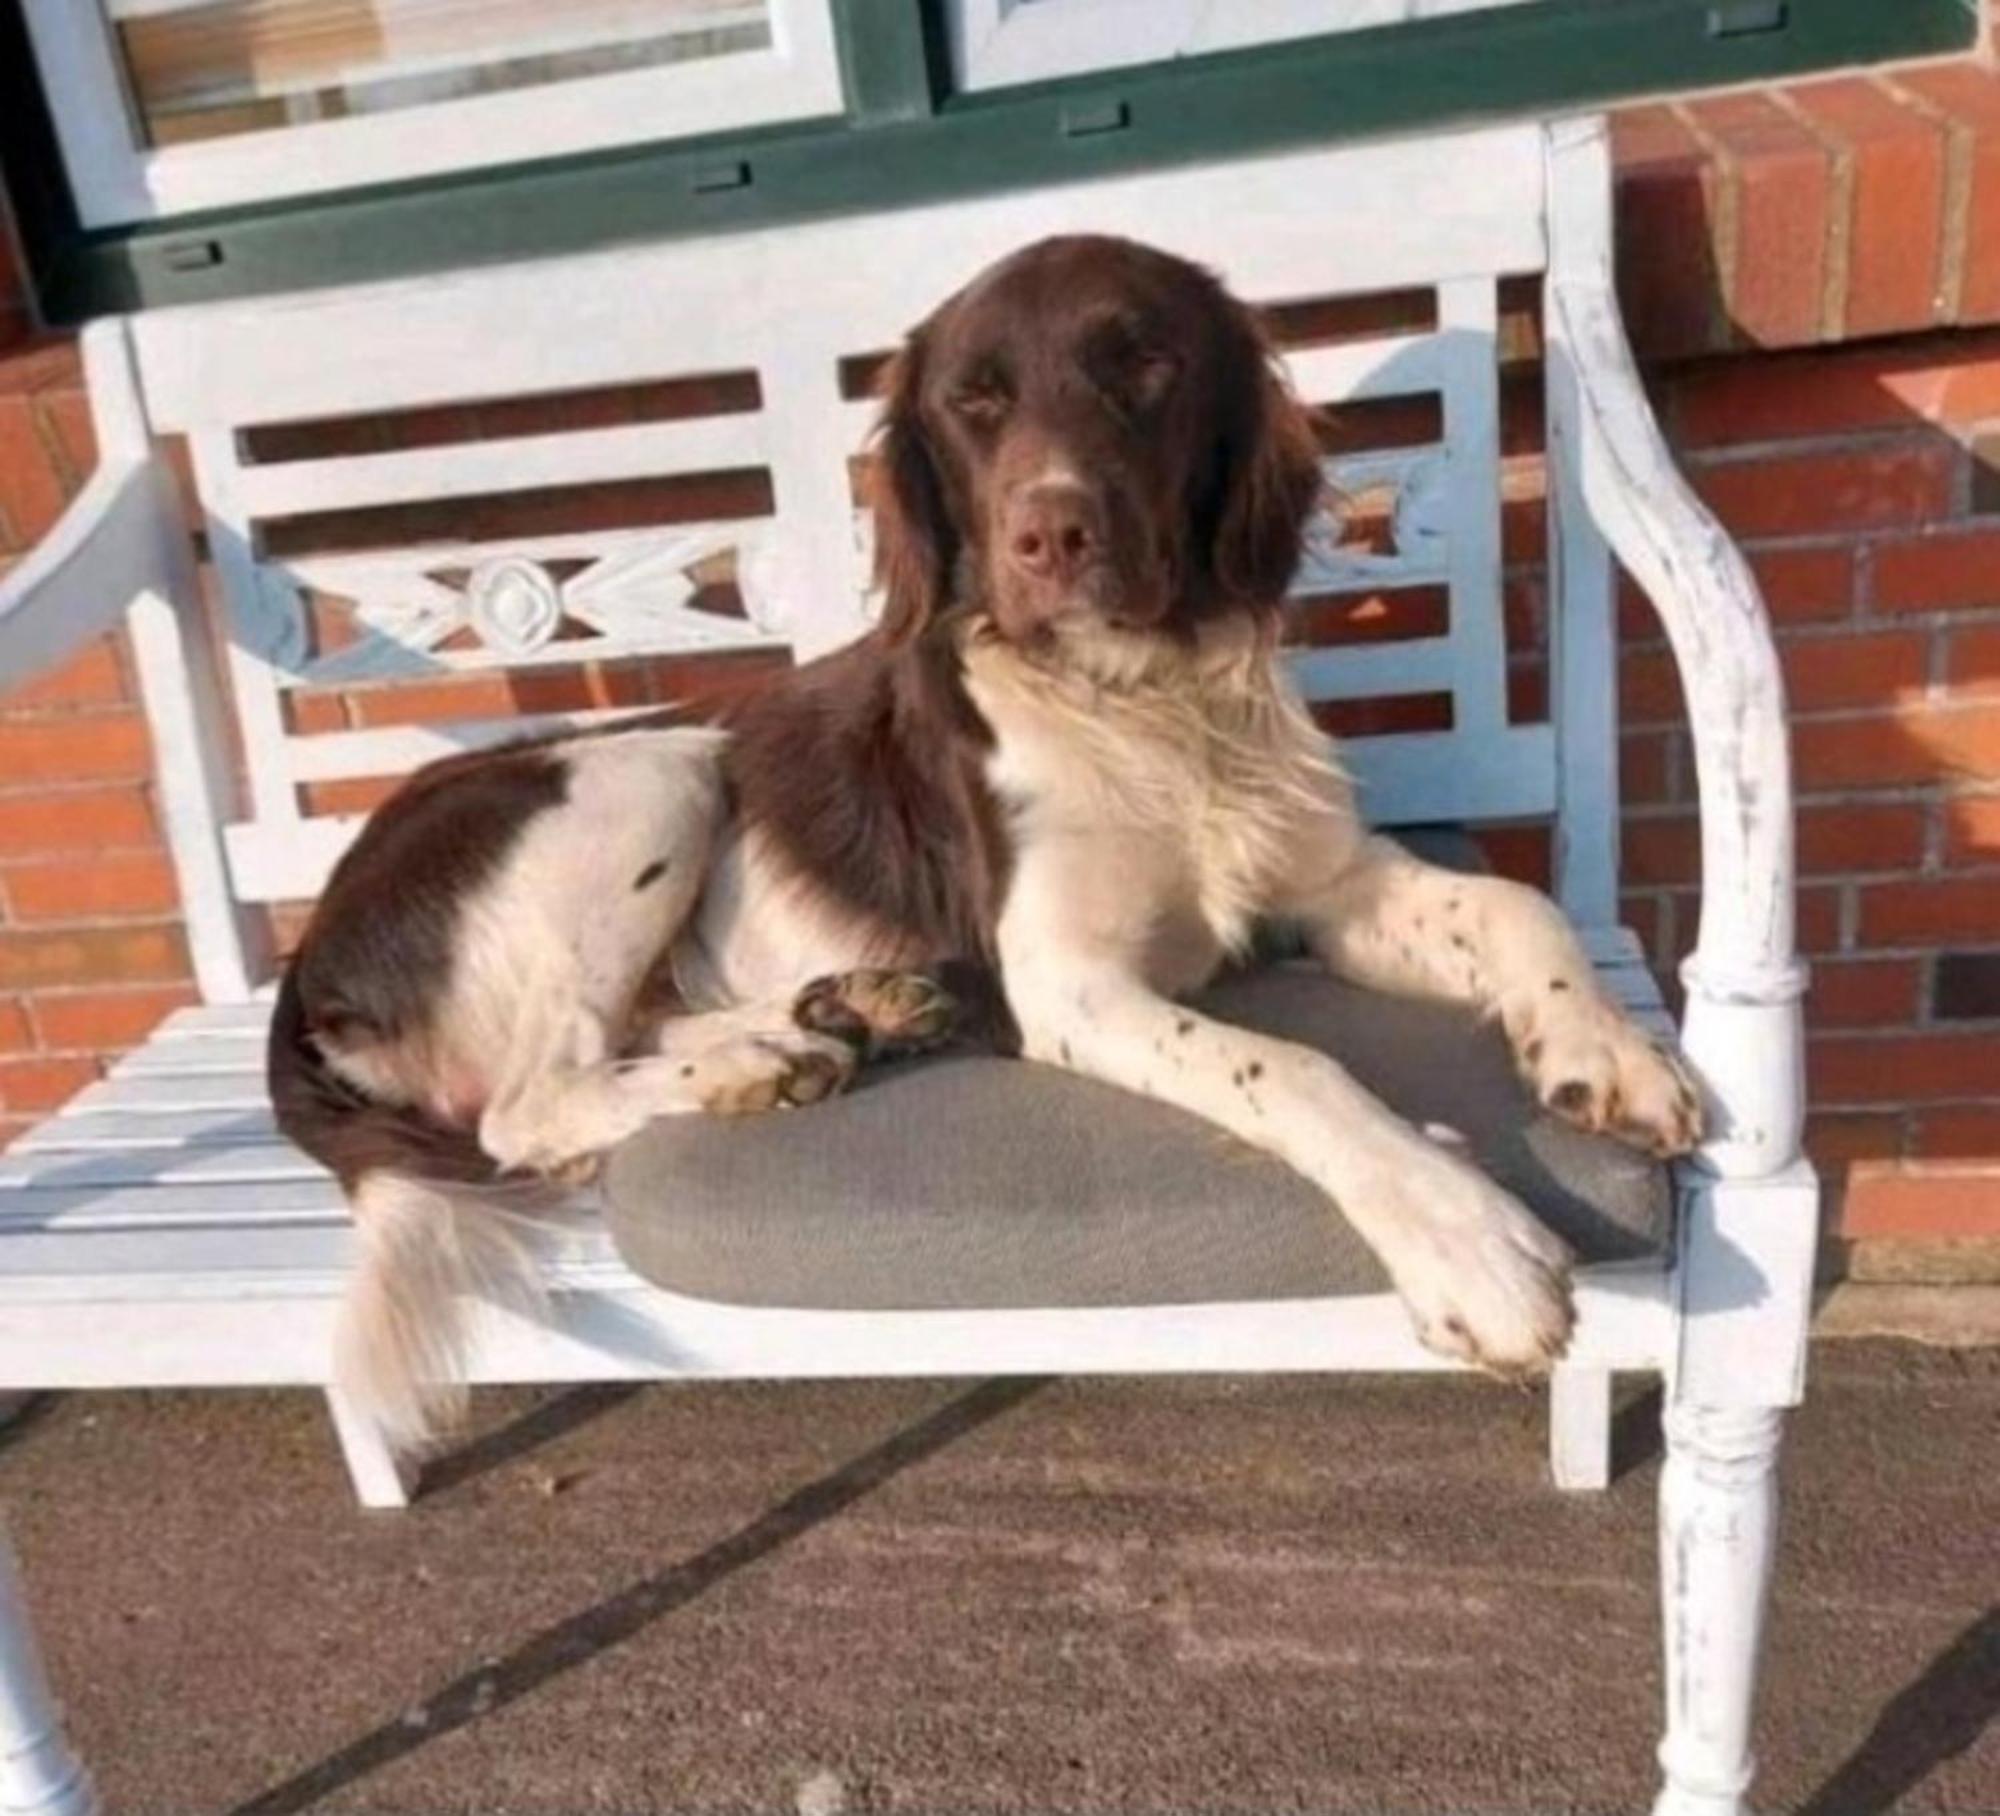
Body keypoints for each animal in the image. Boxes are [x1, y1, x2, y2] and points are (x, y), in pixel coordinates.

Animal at [270, 234, 1704, 1456]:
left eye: (1144, 363)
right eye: (972, 401)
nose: (1050, 535)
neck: (1141, 697)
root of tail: (310, 957)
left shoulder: (1327, 886)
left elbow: (1518, 908)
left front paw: (1604, 1049)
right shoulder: (1068, 986)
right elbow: (1295, 1068)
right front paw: (1467, 1238)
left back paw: (828, 1020)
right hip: (649, 770)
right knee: (532, 1102)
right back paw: (765, 1060)